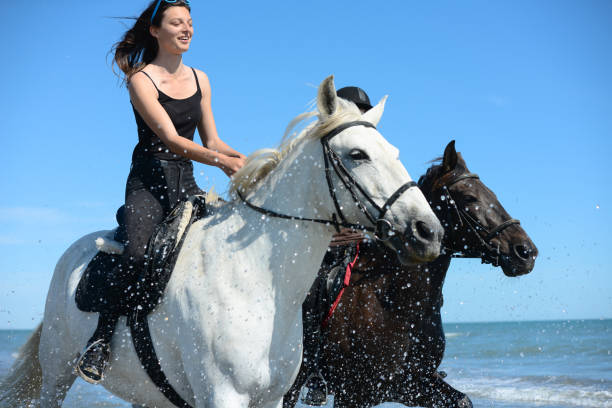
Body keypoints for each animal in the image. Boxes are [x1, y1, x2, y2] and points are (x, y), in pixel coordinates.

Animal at [0, 76, 440, 408]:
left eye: (394, 151)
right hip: (57, 374)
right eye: (358, 154)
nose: (428, 231)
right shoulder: (224, 396)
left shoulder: (272, 398)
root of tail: (75, 252)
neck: (259, 280)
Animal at [282, 141, 536, 408]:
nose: (526, 252)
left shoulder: (411, 384)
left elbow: (462, 400)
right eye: (469, 197)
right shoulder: (353, 393)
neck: (398, 298)